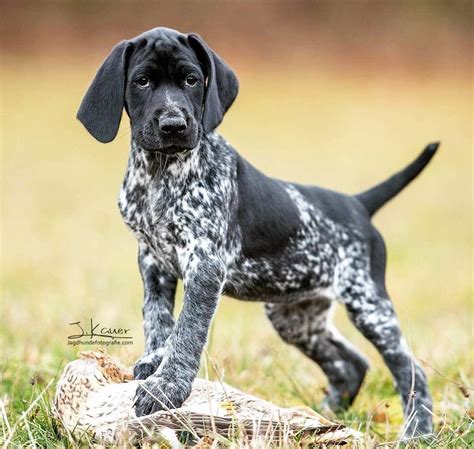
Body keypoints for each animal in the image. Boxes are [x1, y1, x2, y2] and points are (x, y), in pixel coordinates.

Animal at [77, 26, 436, 436]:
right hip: (294, 317)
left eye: (191, 80)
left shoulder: (205, 266)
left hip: (368, 305)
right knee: (352, 363)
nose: (173, 126)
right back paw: (323, 415)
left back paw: (418, 430)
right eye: (142, 81)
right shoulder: (153, 262)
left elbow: (186, 331)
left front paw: (166, 388)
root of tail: (358, 203)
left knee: (411, 370)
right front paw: (153, 362)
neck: (160, 172)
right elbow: (157, 319)